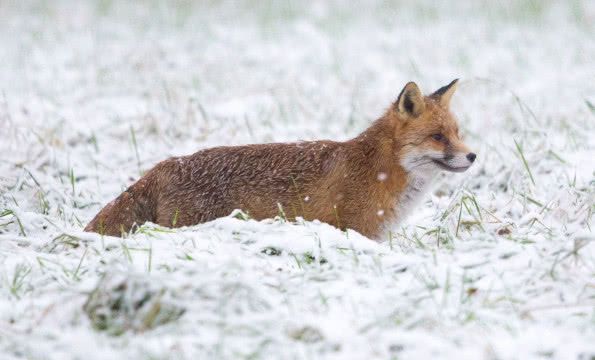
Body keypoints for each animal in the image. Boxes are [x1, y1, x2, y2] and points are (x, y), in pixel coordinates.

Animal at [85, 80, 474, 240]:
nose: (472, 156)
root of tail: (167, 164)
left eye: (457, 133)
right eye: (438, 137)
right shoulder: (354, 229)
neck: (379, 170)